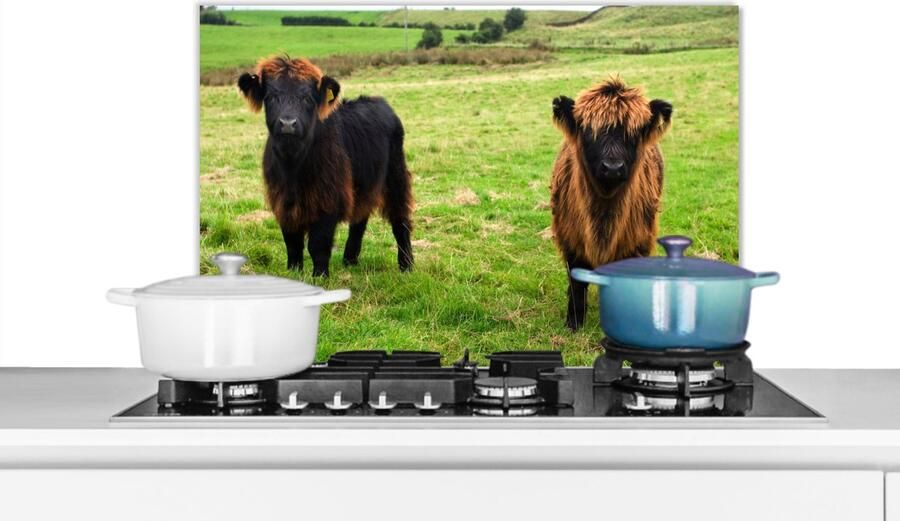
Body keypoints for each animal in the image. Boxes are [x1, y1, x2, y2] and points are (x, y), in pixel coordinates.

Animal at [237, 55, 413, 276]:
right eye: (270, 97)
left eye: (308, 98)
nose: (287, 123)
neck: (293, 166)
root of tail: (379, 101)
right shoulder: (283, 202)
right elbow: (292, 243)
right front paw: (294, 272)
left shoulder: (328, 200)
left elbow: (318, 243)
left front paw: (320, 276)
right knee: (360, 218)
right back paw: (350, 259)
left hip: (396, 176)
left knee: (400, 220)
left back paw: (406, 265)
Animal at [550, 77, 673, 330]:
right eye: (588, 131)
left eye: (634, 133)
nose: (613, 168)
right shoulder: (571, 241)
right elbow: (577, 286)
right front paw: (573, 323)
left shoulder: (638, 243)